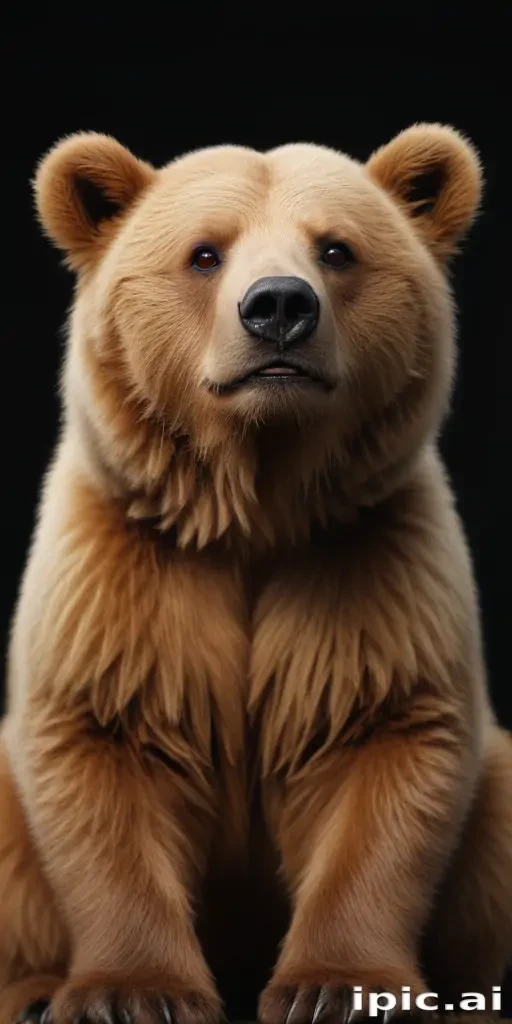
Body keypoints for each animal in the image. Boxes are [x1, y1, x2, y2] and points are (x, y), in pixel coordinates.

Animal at [1, 124, 512, 1024]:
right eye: (205, 253)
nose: (278, 307)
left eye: (337, 248)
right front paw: (133, 992)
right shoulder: (123, 572)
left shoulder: (369, 567)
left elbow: (387, 744)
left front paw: (338, 986)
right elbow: (100, 748)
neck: (254, 512)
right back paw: (30, 989)